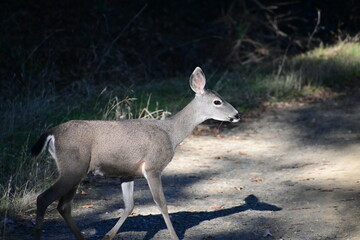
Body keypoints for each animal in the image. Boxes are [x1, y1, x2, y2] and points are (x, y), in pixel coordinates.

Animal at [30, 66, 239, 239]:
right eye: (217, 101)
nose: (236, 115)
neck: (171, 134)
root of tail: (52, 133)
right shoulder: (153, 166)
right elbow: (162, 204)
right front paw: (175, 237)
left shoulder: (127, 173)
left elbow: (129, 205)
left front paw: (108, 236)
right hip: (73, 166)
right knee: (43, 199)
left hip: (76, 169)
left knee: (63, 206)